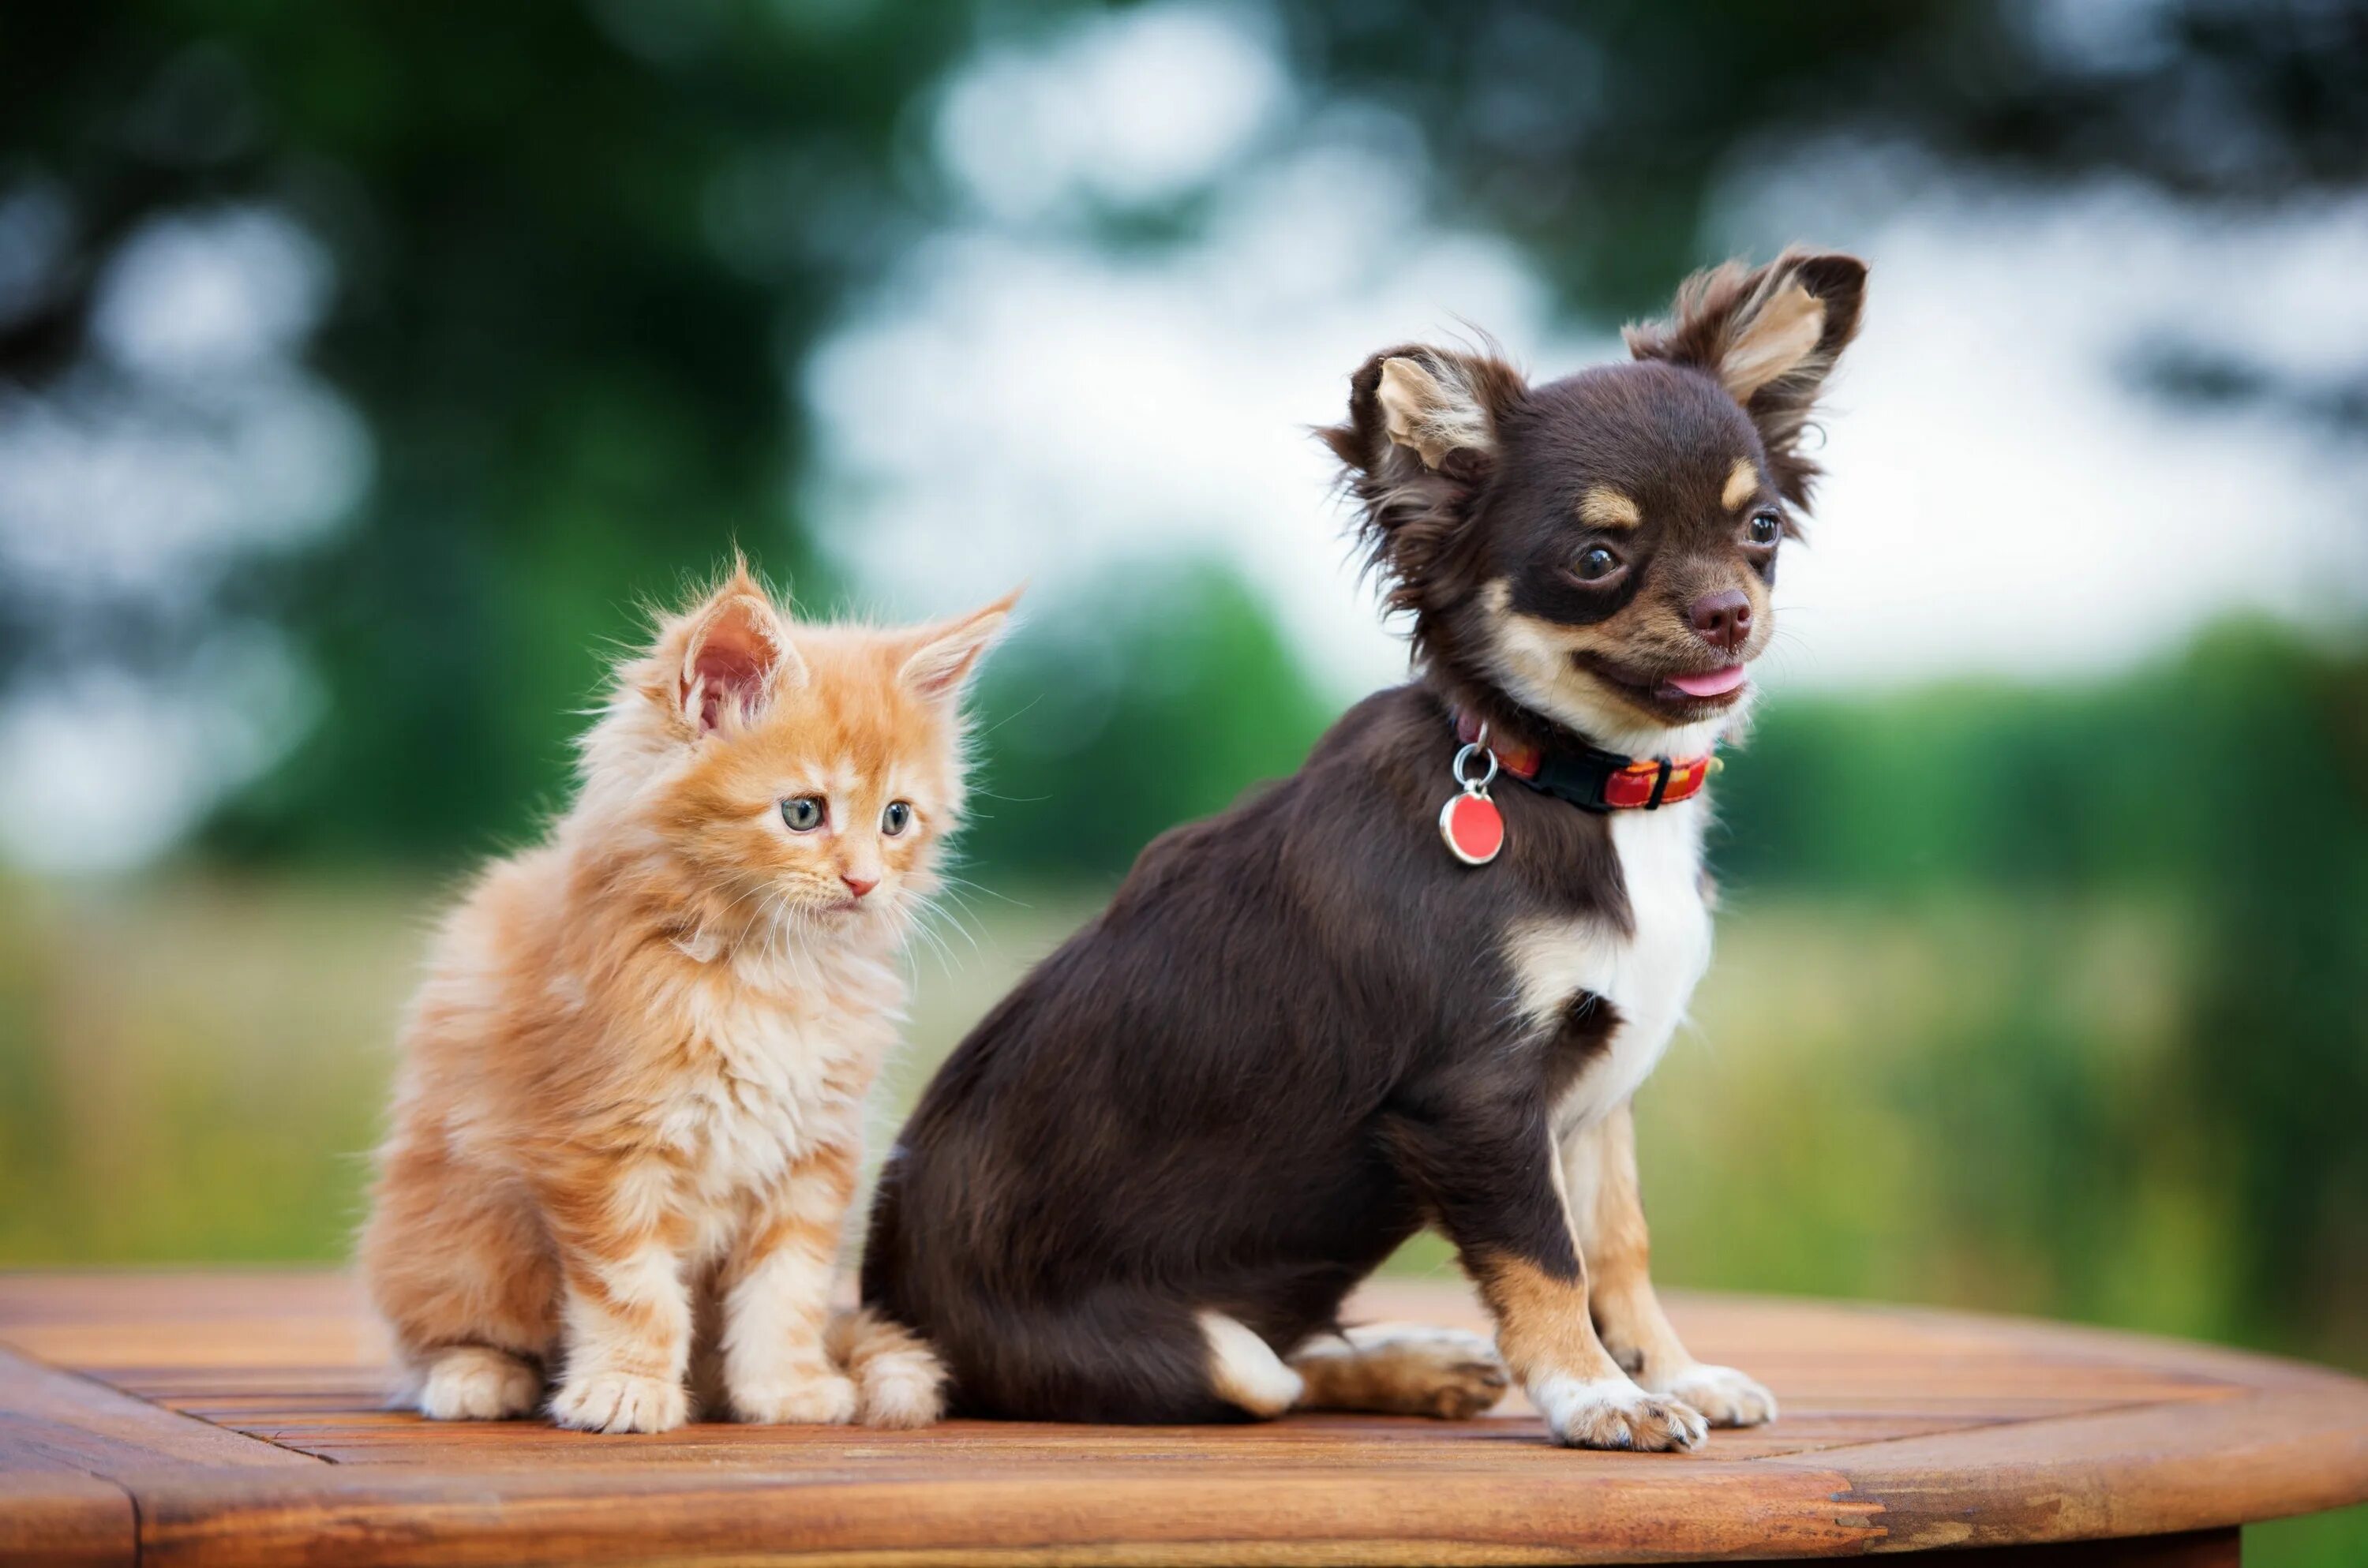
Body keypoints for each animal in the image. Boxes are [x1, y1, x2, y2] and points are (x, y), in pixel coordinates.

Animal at [358, 568, 1009, 1439]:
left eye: (896, 818)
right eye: (804, 812)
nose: (866, 880)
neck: (763, 973)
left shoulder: (812, 1155)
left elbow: (786, 1290)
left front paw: (788, 1388)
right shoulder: (599, 1149)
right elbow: (633, 1290)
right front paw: (626, 1388)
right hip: (454, 1235)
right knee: (443, 1331)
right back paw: (476, 1375)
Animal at [862, 254, 1857, 1449]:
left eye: (1761, 529)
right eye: (1597, 558)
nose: (1727, 612)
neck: (1570, 781)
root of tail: (882, 1308)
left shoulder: (1597, 1089)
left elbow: (1619, 1241)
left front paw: (1674, 1367)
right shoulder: (1478, 1098)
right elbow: (1549, 1258)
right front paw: (1598, 1395)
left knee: (1297, 1364)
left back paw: (1421, 1361)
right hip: (1185, 1350)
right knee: (1267, 1377)